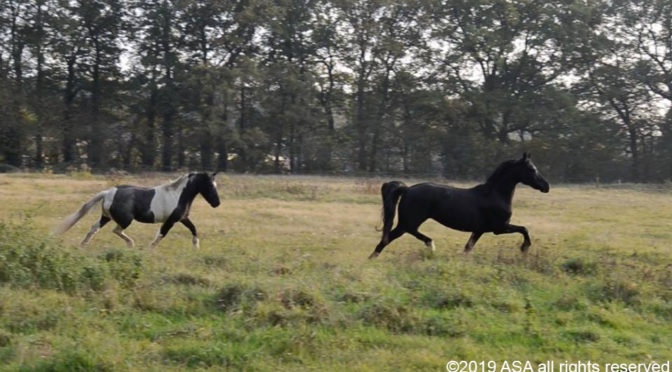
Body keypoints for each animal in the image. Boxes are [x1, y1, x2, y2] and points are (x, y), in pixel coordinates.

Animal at [54, 172, 220, 248]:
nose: (217, 203)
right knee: (116, 230)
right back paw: (131, 244)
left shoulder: (182, 218)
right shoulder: (171, 220)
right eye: (210, 186)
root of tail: (109, 192)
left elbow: (193, 228)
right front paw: (150, 249)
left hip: (106, 217)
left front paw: (196, 246)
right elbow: (162, 234)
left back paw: (83, 245)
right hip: (125, 220)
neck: (178, 195)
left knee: (94, 228)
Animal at [370, 153, 548, 258]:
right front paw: (524, 248)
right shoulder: (500, 228)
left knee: (403, 234)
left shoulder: (479, 230)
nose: (546, 186)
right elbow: (524, 229)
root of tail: (407, 189)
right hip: (409, 221)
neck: (494, 195)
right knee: (389, 238)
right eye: (532, 169)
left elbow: (467, 248)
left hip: (410, 221)